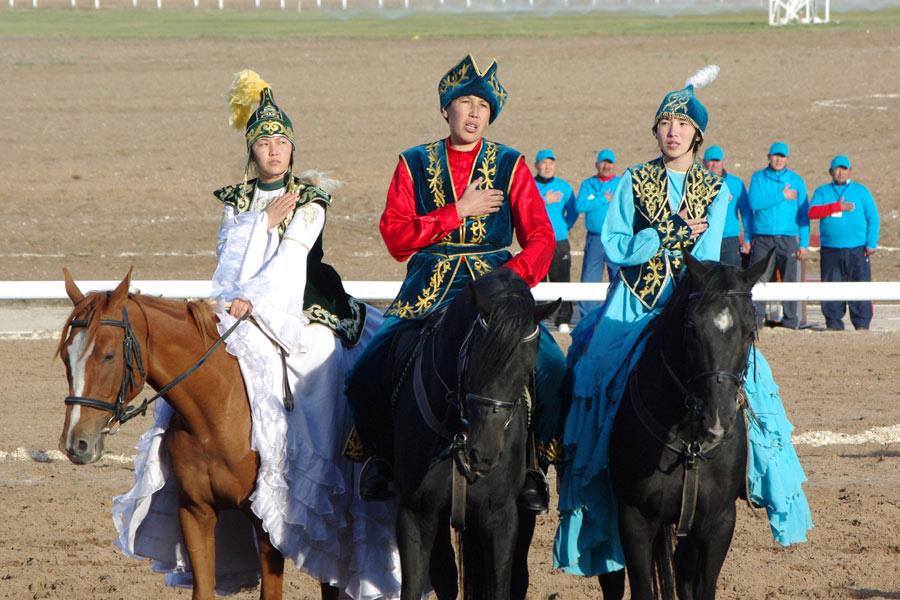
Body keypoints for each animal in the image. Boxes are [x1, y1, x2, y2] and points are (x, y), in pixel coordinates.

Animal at [57, 270, 338, 600]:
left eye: (109, 355)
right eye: (66, 356)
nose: (76, 443)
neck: (218, 407)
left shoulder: (268, 526)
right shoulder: (195, 511)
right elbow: (202, 588)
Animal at [388, 270, 560, 600]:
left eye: (527, 368)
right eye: (477, 357)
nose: (484, 453)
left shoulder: (500, 517)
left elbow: (501, 586)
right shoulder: (416, 512)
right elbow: (418, 584)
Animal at [596, 253, 772, 600]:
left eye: (750, 331)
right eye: (692, 328)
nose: (717, 420)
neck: (690, 441)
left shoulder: (718, 522)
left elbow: (702, 587)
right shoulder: (634, 518)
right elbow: (642, 589)